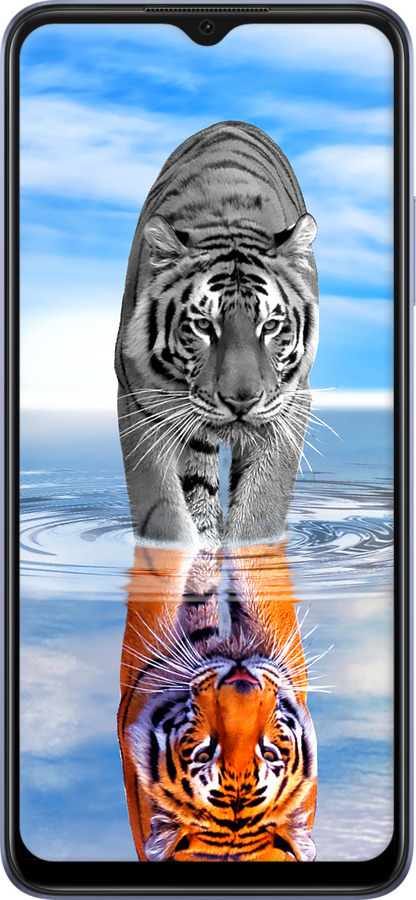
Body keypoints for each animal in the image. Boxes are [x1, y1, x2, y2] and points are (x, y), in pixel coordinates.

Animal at [115, 120, 319, 549]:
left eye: (270, 326)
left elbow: (260, 509)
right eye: (204, 326)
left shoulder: (290, 404)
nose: (241, 400)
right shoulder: (139, 401)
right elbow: (163, 512)